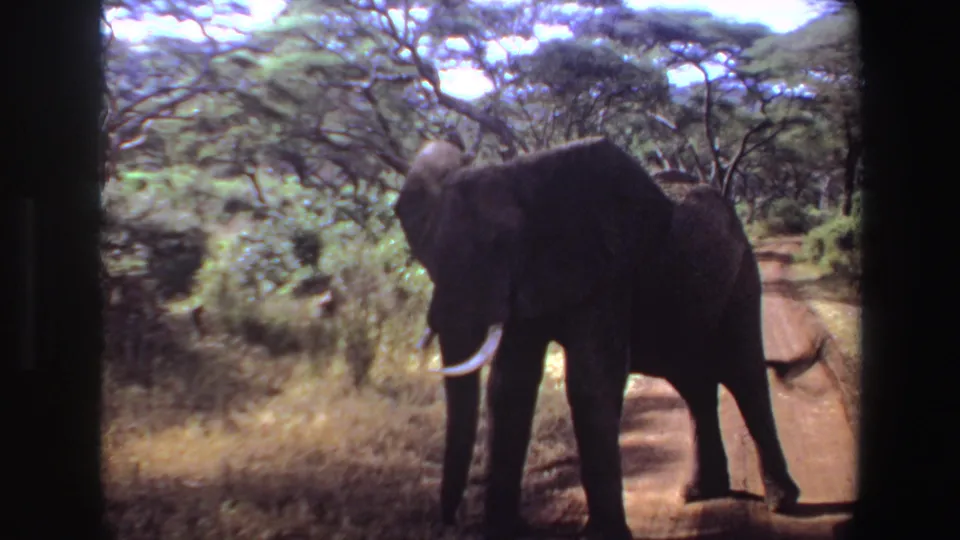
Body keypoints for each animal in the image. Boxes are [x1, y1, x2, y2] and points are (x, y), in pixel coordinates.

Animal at [393, 136, 800, 540]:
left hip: (742, 273)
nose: (449, 522)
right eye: (425, 253)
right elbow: (510, 388)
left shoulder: (608, 272)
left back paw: (781, 502)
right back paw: (701, 493)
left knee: (744, 375)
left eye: (500, 244)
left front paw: (604, 536)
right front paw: (503, 530)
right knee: (694, 385)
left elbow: (591, 383)